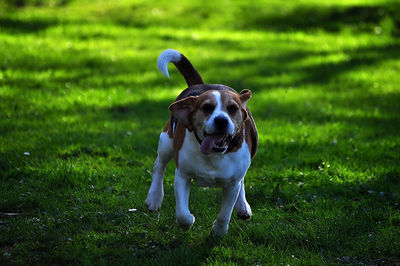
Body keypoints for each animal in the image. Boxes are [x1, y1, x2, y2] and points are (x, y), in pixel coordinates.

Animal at [145, 48, 258, 235]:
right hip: (166, 142)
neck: (214, 155)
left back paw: (242, 206)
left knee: (241, 182)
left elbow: (225, 212)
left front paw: (218, 232)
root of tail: (201, 85)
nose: (221, 120)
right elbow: (182, 214)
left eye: (232, 109)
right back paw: (154, 197)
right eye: (207, 108)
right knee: (158, 167)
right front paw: (189, 221)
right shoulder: (182, 176)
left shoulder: (232, 184)